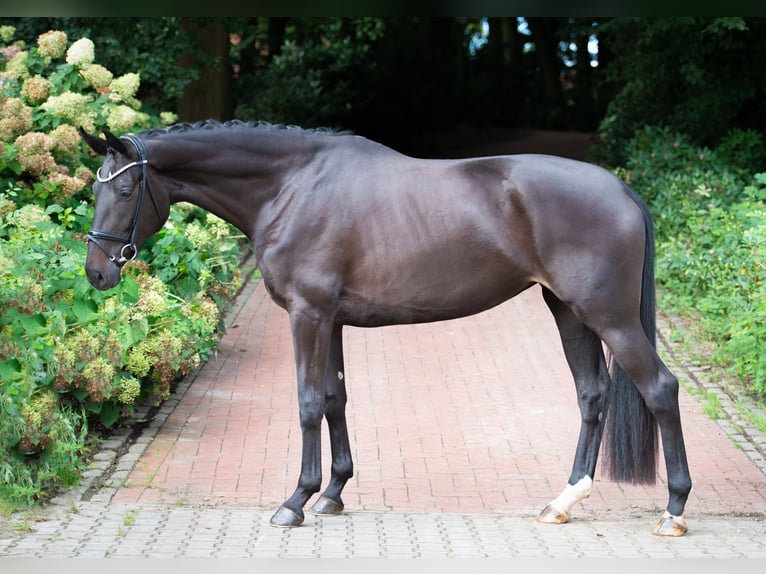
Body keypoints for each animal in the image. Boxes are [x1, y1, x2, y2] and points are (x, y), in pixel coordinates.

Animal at [81, 119, 692, 536]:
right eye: (96, 189)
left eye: (127, 190)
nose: (97, 272)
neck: (291, 186)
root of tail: (620, 189)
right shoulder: (330, 320)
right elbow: (335, 398)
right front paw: (332, 493)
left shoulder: (308, 315)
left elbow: (307, 402)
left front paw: (296, 501)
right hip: (568, 311)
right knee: (592, 394)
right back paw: (563, 502)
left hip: (610, 318)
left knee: (660, 389)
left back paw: (674, 510)